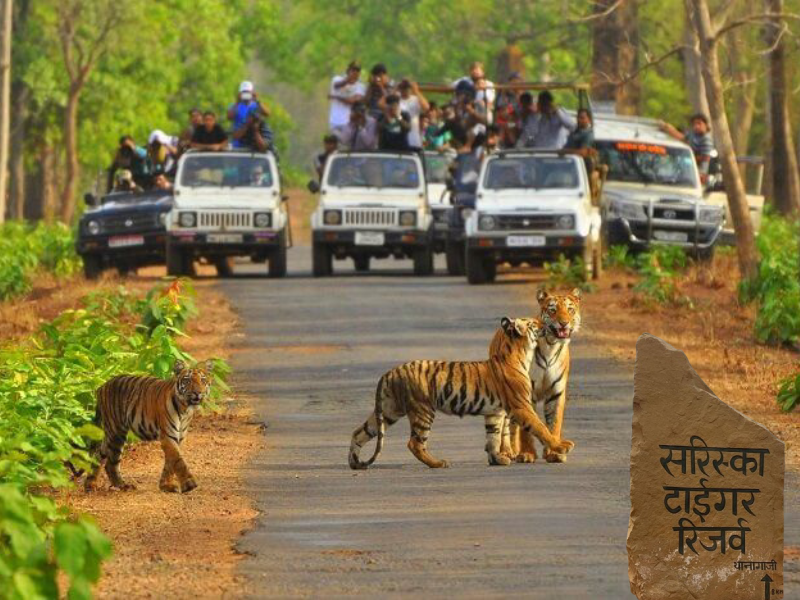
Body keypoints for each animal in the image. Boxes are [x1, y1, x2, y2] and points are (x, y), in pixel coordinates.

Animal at [84, 359, 213, 493]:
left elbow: (170, 462)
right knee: (110, 463)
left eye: (203, 380)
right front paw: (189, 484)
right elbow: (178, 460)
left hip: (111, 434)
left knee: (99, 454)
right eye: (187, 380)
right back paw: (122, 485)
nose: (198, 392)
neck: (185, 409)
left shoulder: (179, 437)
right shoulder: (168, 436)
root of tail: (102, 387)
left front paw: (166, 485)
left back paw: (90, 484)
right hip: (116, 432)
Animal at [349, 317, 575, 470]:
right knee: (415, 443)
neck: (520, 353)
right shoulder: (521, 406)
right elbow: (540, 428)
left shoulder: (495, 412)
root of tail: (390, 372)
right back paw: (438, 463)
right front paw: (562, 446)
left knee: (359, 432)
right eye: (533, 323)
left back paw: (354, 462)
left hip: (389, 410)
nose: (546, 323)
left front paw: (497, 459)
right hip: (423, 410)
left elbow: (493, 437)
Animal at [504, 288, 581, 465]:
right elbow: (527, 428)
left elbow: (554, 423)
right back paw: (511, 452)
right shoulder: (526, 392)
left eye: (570, 310)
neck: (551, 346)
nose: (564, 323)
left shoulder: (556, 392)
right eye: (552, 310)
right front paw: (527, 454)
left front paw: (554, 453)